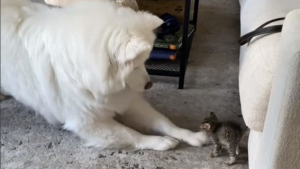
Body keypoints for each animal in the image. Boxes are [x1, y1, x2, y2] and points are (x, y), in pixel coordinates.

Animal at [1, 0, 209, 151]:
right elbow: (130, 133)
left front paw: (191, 135)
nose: (149, 85)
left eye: (145, 62)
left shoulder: (123, 98)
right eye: (134, 66)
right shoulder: (87, 122)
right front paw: (159, 142)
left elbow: (161, 120)